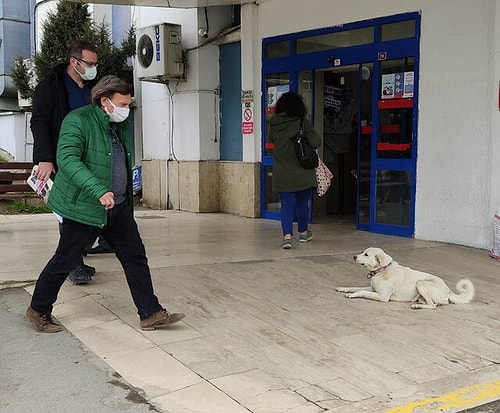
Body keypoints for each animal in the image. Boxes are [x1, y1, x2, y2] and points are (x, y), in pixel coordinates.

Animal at [336, 246, 472, 308]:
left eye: (366, 254)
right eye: (363, 252)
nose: (354, 256)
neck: (382, 270)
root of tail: (447, 290)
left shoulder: (382, 296)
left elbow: (362, 292)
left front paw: (353, 295)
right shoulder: (373, 289)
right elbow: (355, 287)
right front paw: (343, 288)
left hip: (421, 283)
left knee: (433, 305)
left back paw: (417, 305)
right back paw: (419, 301)